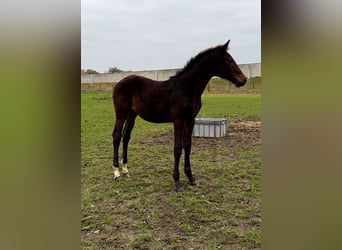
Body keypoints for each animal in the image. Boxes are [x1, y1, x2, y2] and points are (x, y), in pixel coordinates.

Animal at [111, 40, 246, 190]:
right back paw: (116, 172)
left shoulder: (191, 120)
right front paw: (177, 180)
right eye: (229, 60)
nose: (243, 80)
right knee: (117, 136)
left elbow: (187, 145)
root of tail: (118, 83)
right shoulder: (178, 120)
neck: (187, 88)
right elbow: (177, 148)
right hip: (121, 112)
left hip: (132, 114)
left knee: (126, 137)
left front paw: (190, 177)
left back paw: (125, 170)